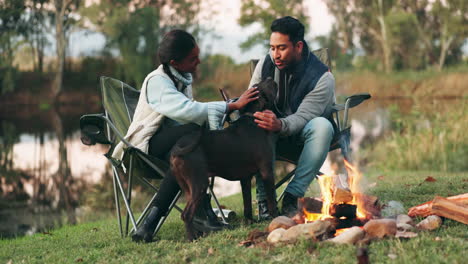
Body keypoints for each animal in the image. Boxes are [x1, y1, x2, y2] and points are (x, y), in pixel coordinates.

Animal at [171, 77, 278, 240]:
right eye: (262, 87)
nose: (270, 77)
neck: (253, 116)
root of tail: (177, 147)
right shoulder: (266, 171)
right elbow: (271, 200)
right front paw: (276, 217)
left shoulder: (245, 179)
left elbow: (247, 204)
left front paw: (250, 222)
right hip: (200, 183)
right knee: (186, 214)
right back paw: (192, 239)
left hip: (188, 187)